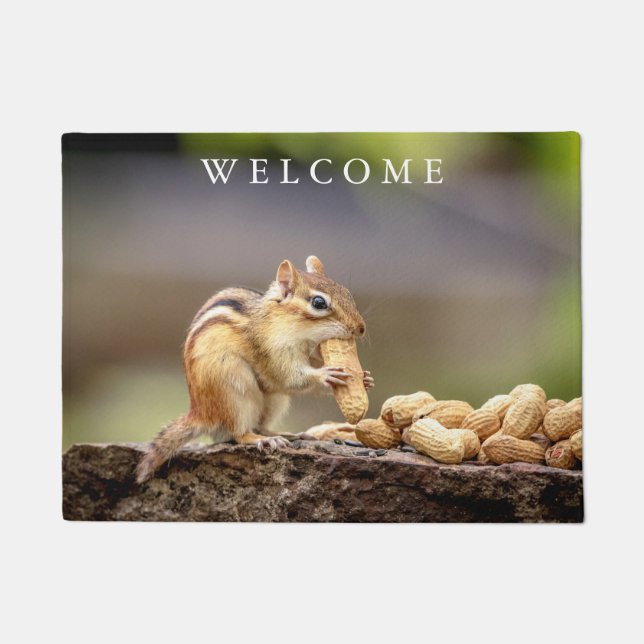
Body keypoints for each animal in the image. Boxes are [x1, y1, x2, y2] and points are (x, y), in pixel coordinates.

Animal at [136, 255, 374, 483]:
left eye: (347, 293)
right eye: (319, 303)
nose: (361, 328)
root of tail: (200, 413)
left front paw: (365, 379)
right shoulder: (272, 351)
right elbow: (290, 378)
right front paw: (326, 375)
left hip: (275, 400)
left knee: (261, 424)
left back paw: (284, 435)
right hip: (234, 390)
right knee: (240, 434)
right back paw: (263, 440)